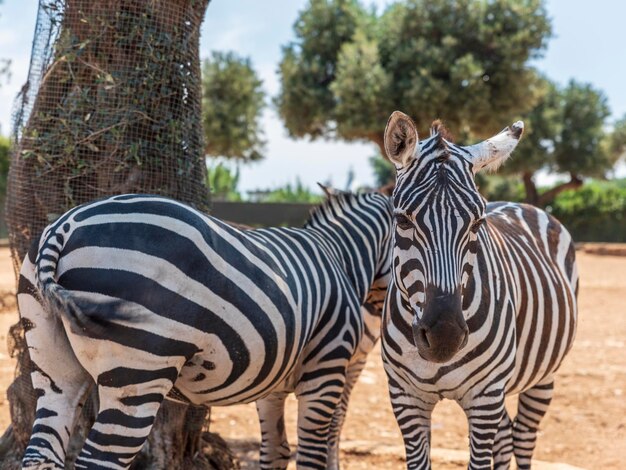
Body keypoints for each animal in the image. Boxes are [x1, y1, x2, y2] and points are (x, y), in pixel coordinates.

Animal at [18, 189, 390, 468]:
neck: (341, 256)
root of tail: (65, 225)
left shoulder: (272, 383)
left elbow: (276, 452)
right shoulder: (325, 369)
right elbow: (311, 453)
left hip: (53, 367)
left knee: (41, 453)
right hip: (138, 373)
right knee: (99, 459)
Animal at [382, 112, 576, 468]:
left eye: (477, 223)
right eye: (403, 221)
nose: (444, 337)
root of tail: (519, 203)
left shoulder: (485, 398)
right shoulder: (405, 397)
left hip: (543, 376)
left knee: (523, 438)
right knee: (506, 438)